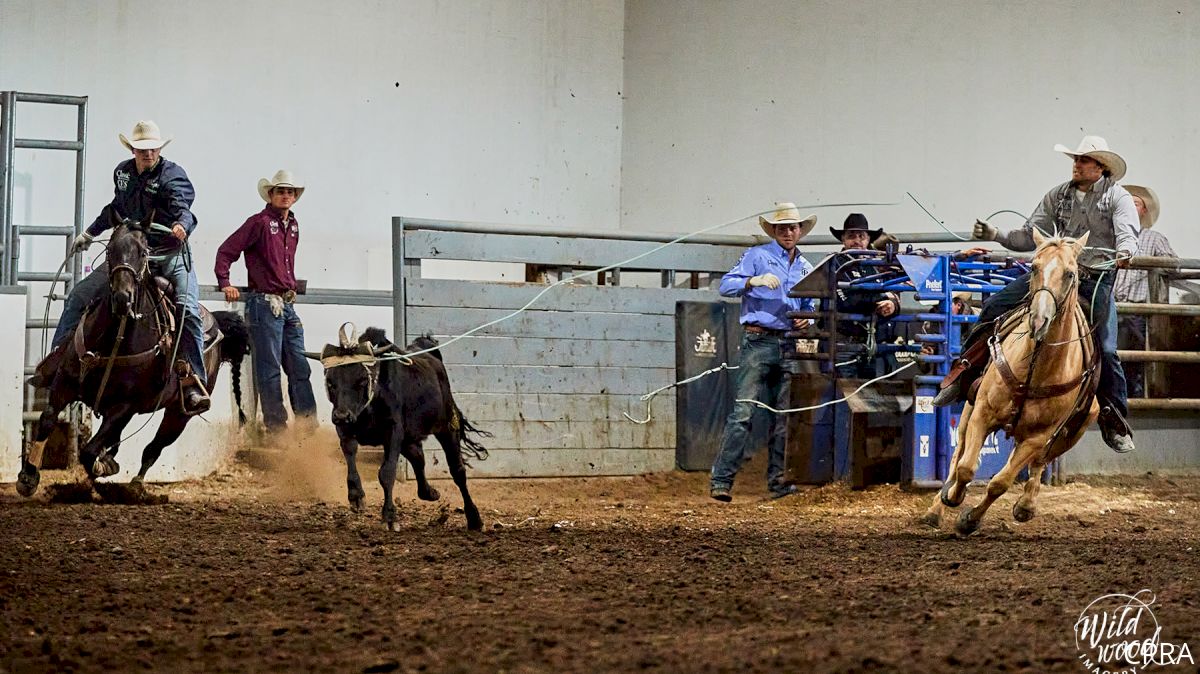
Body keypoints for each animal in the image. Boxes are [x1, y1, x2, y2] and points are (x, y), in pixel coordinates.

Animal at [17, 212, 249, 496]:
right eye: (110, 251)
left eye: (143, 252)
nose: (122, 298)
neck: (113, 339)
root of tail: (214, 320)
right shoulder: (65, 384)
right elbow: (48, 419)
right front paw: (28, 476)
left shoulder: (124, 406)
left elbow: (88, 451)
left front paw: (102, 469)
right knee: (117, 440)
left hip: (178, 414)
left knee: (153, 448)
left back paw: (135, 485)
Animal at [314, 323, 492, 527]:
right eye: (330, 382)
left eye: (362, 380)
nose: (342, 415)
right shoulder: (345, 429)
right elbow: (350, 456)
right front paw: (356, 496)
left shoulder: (393, 432)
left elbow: (387, 472)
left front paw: (390, 515)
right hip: (409, 438)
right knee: (419, 458)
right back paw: (430, 493)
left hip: (447, 426)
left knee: (458, 470)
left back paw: (474, 518)